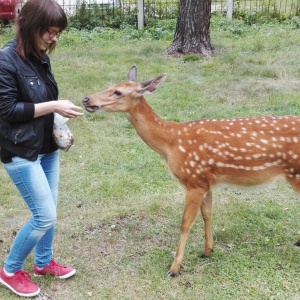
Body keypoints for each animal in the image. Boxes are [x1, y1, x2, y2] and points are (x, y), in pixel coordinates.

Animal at [82, 65, 300, 276]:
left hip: (295, 172)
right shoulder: (205, 181)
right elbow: (207, 214)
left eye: (117, 92)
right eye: (110, 85)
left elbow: (185, 223)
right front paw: (207, 250)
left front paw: (174, 268)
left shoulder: (193, 180)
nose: (86, 99)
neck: (171, 144)